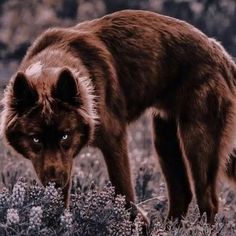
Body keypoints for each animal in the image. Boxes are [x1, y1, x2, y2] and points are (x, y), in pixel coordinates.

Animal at [0, 9, 236, 223]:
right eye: (35, 139)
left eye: (65, 136)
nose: (54, 183)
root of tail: (222, 54)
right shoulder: (64, 162)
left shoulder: (114, 141)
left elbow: (123, 191)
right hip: (164, 139)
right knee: (182, 194)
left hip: (197, 141)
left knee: (208, 201)